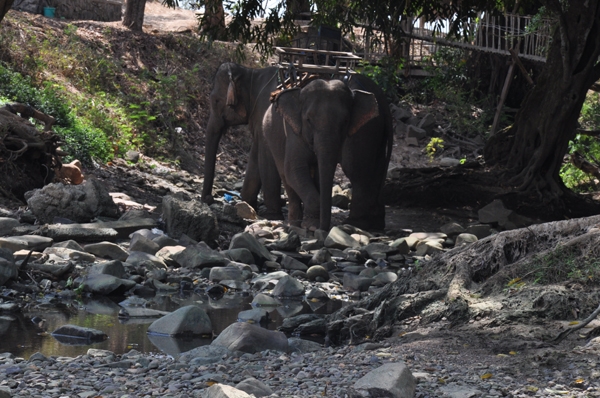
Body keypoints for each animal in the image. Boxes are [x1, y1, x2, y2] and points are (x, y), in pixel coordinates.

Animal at [202, 62, 284, 219]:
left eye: (216, 101)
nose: (209, 199)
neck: (251, 73)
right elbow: (256, 151)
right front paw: (247, 204)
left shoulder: (267, 113)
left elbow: (265, 153)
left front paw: (272, 215)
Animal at [262, 78, 380, 230]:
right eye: (308, 120)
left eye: (346, 121)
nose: (325, 229)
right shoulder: (295, 133)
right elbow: (294, 169)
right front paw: (311, 225)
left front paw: (313, 224)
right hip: (271, 137)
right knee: (285, 176)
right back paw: (294, 223)